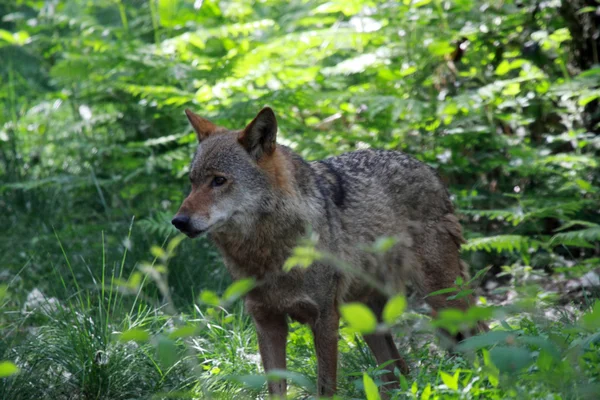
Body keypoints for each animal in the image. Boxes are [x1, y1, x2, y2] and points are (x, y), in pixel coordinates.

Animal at [171, 106, 480, 396]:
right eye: (192, 181)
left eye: (219, 181)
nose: (179, 221)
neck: (266, 252)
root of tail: (428, 169)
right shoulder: (267, 322)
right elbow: (276, 388)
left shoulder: (325, 319)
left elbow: (325, 387)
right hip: (369, 318)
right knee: (398, 373)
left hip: (444, 299)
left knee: (481, 334)